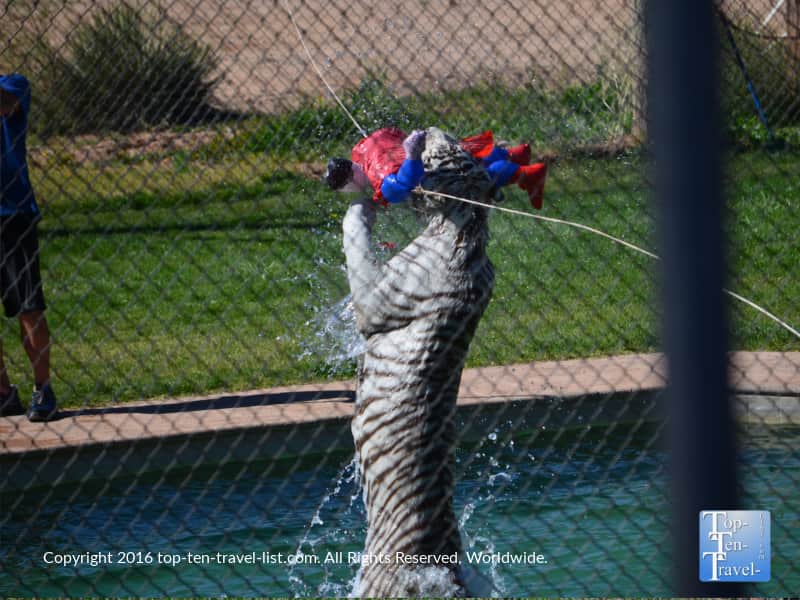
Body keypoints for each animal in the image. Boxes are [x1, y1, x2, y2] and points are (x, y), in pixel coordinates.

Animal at [342, 127, 499, 597]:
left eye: (448, 147)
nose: (427, 130)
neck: (463, 223)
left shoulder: (374, 299)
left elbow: (356, 244)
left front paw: (361, 204)